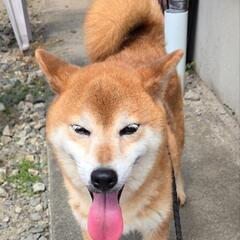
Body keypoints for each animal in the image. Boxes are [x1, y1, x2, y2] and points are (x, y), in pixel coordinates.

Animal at [35, 0, 186, 239]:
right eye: (80, 129)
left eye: (130, 129)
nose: (103, 177)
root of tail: (143, 42)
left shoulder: (157, 227)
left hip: (176, 135)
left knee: (177, 165)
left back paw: (178, 192)